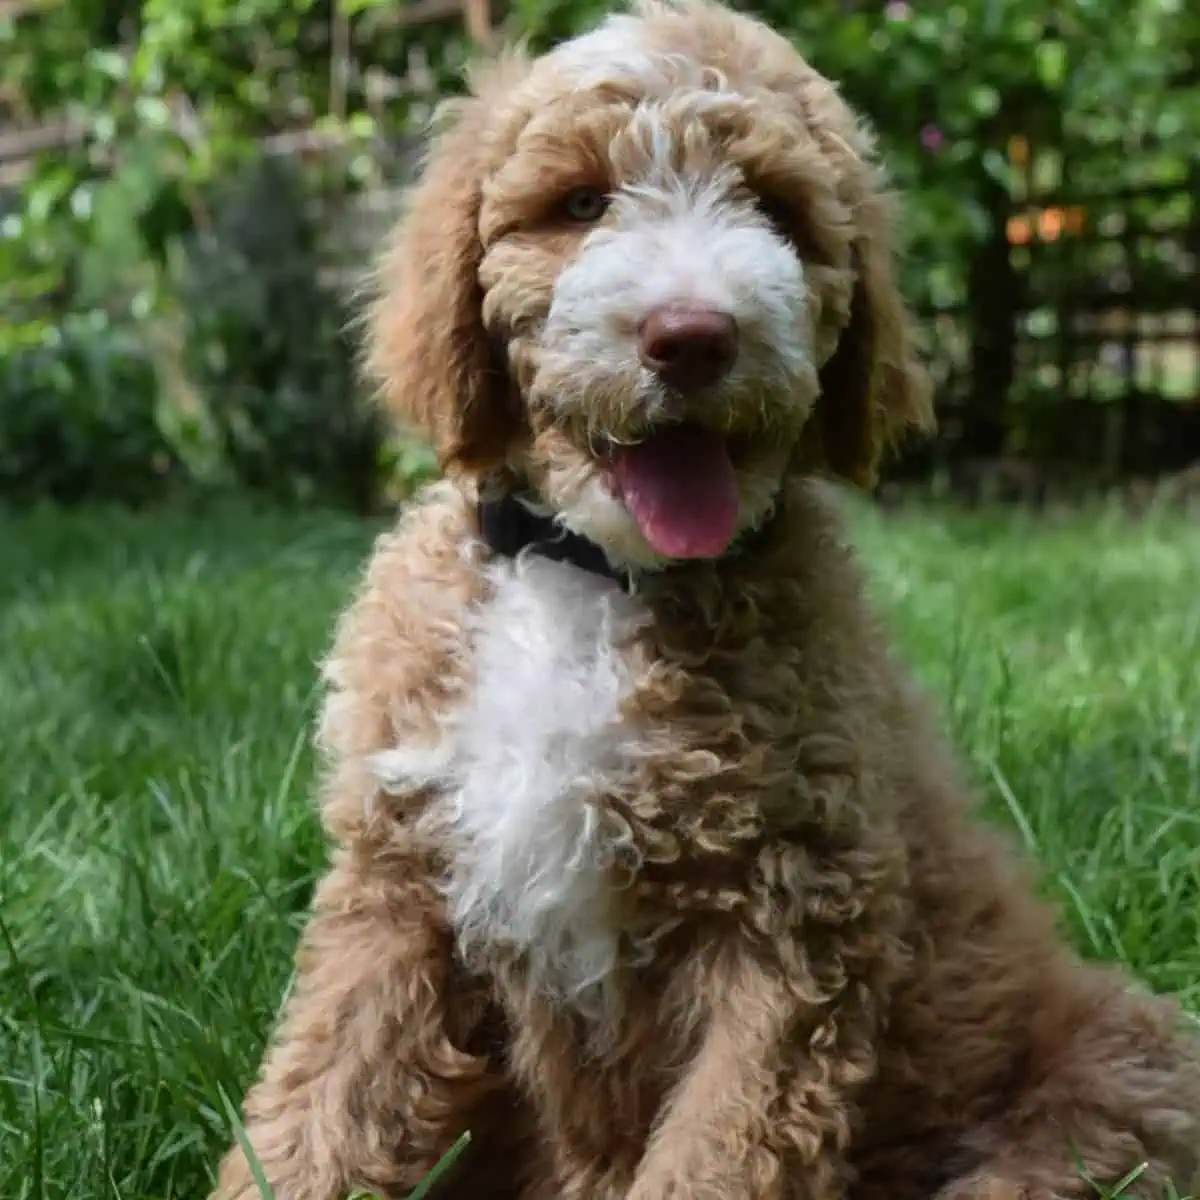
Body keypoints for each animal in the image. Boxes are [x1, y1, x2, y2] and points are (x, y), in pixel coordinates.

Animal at [211, 2, 1200, 1200]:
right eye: (581, 202)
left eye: (774, 209)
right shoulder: (399, 889)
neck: (589, 572)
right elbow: (321, 1105)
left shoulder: (792, 923)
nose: (692, 335)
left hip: (1125, 1068)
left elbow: (718, 1153)